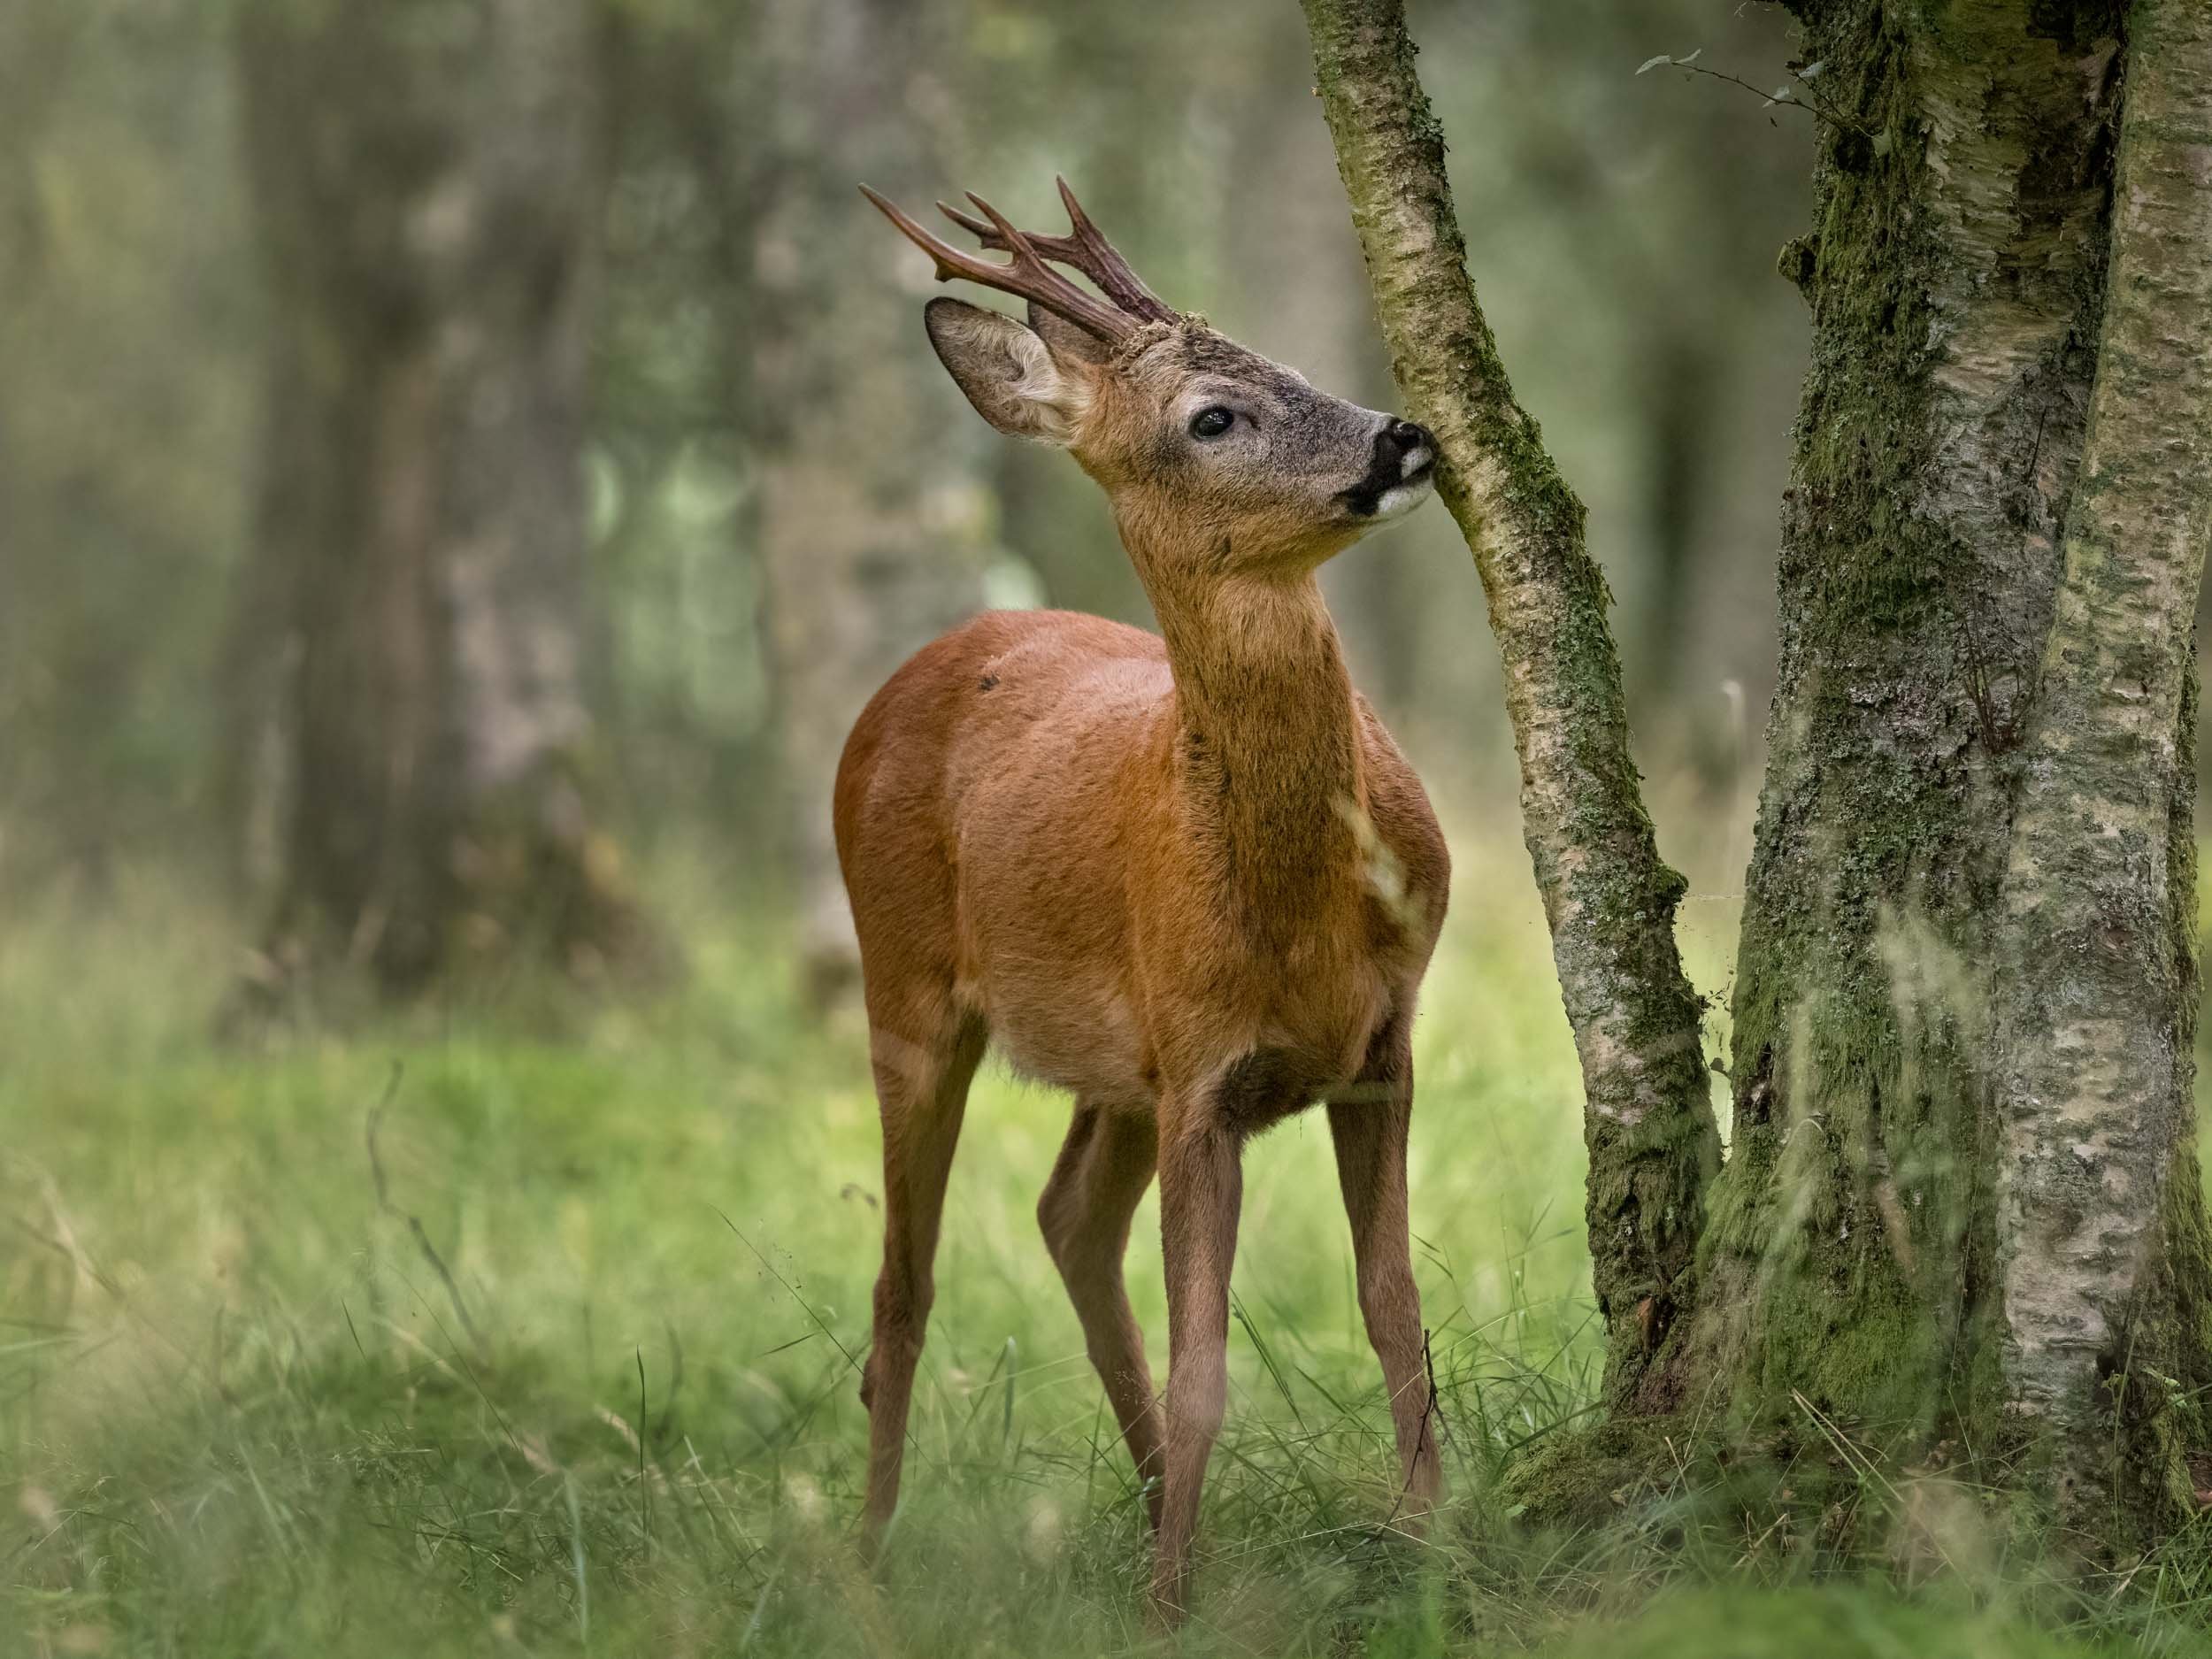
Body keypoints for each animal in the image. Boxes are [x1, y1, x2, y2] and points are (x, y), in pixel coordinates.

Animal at [836, 181, 1442, 1628]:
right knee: (902, 1284)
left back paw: (1168, 1515)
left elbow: (1393, 1307)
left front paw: (1434, 1542)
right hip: (906, 988)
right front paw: (1172, 1611)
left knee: (1065, 1219)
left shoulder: (1379, 1046)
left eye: (1281, 358)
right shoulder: (1201, 1071)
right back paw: (872, 1559)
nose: (1401, 434)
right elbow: (1205, 1359)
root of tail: (934, 654)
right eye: (1210, 418)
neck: (1294, 913)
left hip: (1114, 1068)